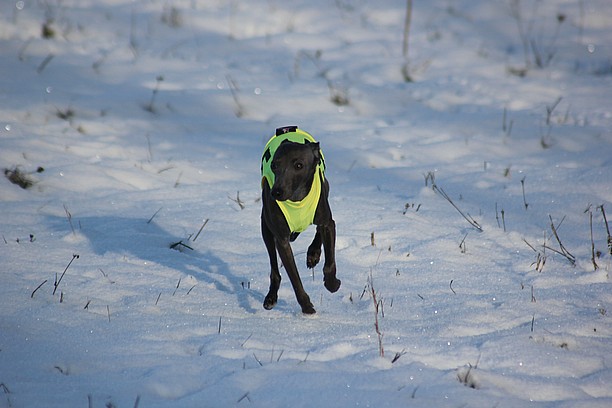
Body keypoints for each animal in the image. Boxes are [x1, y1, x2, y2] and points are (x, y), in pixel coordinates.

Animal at [260, 126, 342, 314]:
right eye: (274, 165)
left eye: (299, 165)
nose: (276, 192)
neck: (296, 199)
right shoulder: (281, 240)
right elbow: (294, 278)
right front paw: (306, 306)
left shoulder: (328, 222)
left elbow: (329, 260)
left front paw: (332, 283)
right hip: (265, 227)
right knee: (274, 269)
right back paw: (271, 297)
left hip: (325, 190)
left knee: (319, 229)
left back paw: (313, 254)